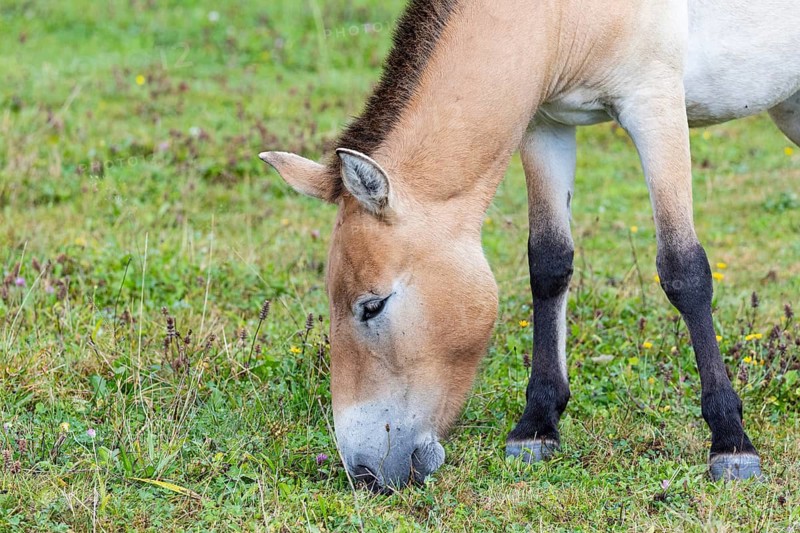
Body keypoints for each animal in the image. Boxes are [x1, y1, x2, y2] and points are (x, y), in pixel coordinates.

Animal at [260, 0, 800, 490]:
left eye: (372, 306)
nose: (365, 473)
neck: (558, 13)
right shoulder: (545, 124)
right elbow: (549, 263)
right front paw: (538, 426)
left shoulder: (655, 106)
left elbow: (683, 270)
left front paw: (731, 443)